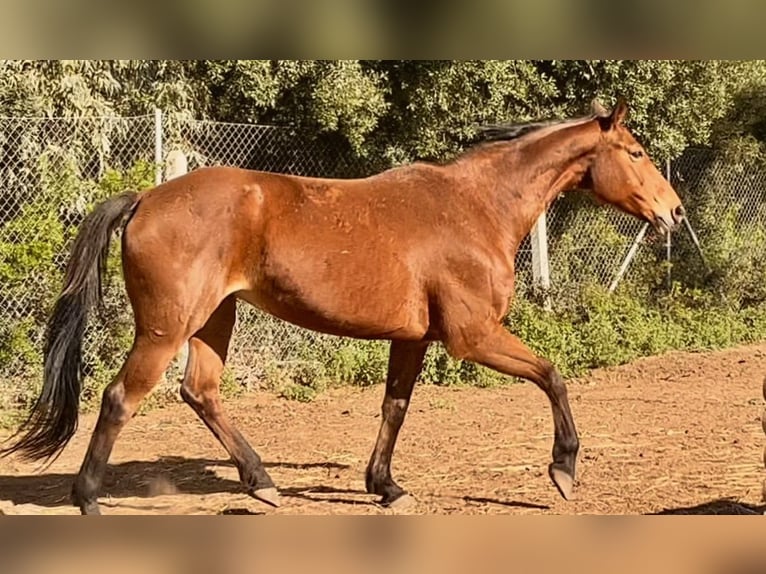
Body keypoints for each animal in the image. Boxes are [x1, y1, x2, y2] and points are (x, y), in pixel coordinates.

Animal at [0, 97, 684, 516]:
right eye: (637, 153)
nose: (674, 213)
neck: (476, 206)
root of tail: (146, 197)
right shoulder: (474, 335)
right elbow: (552, 376)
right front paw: (564, 469)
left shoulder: (412, 338)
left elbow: (395, 409)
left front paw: (386, 487)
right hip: (167, 328)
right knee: (122, 397)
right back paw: (89, 498)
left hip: (214, 320)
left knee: (201, 393)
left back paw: (264, 484)